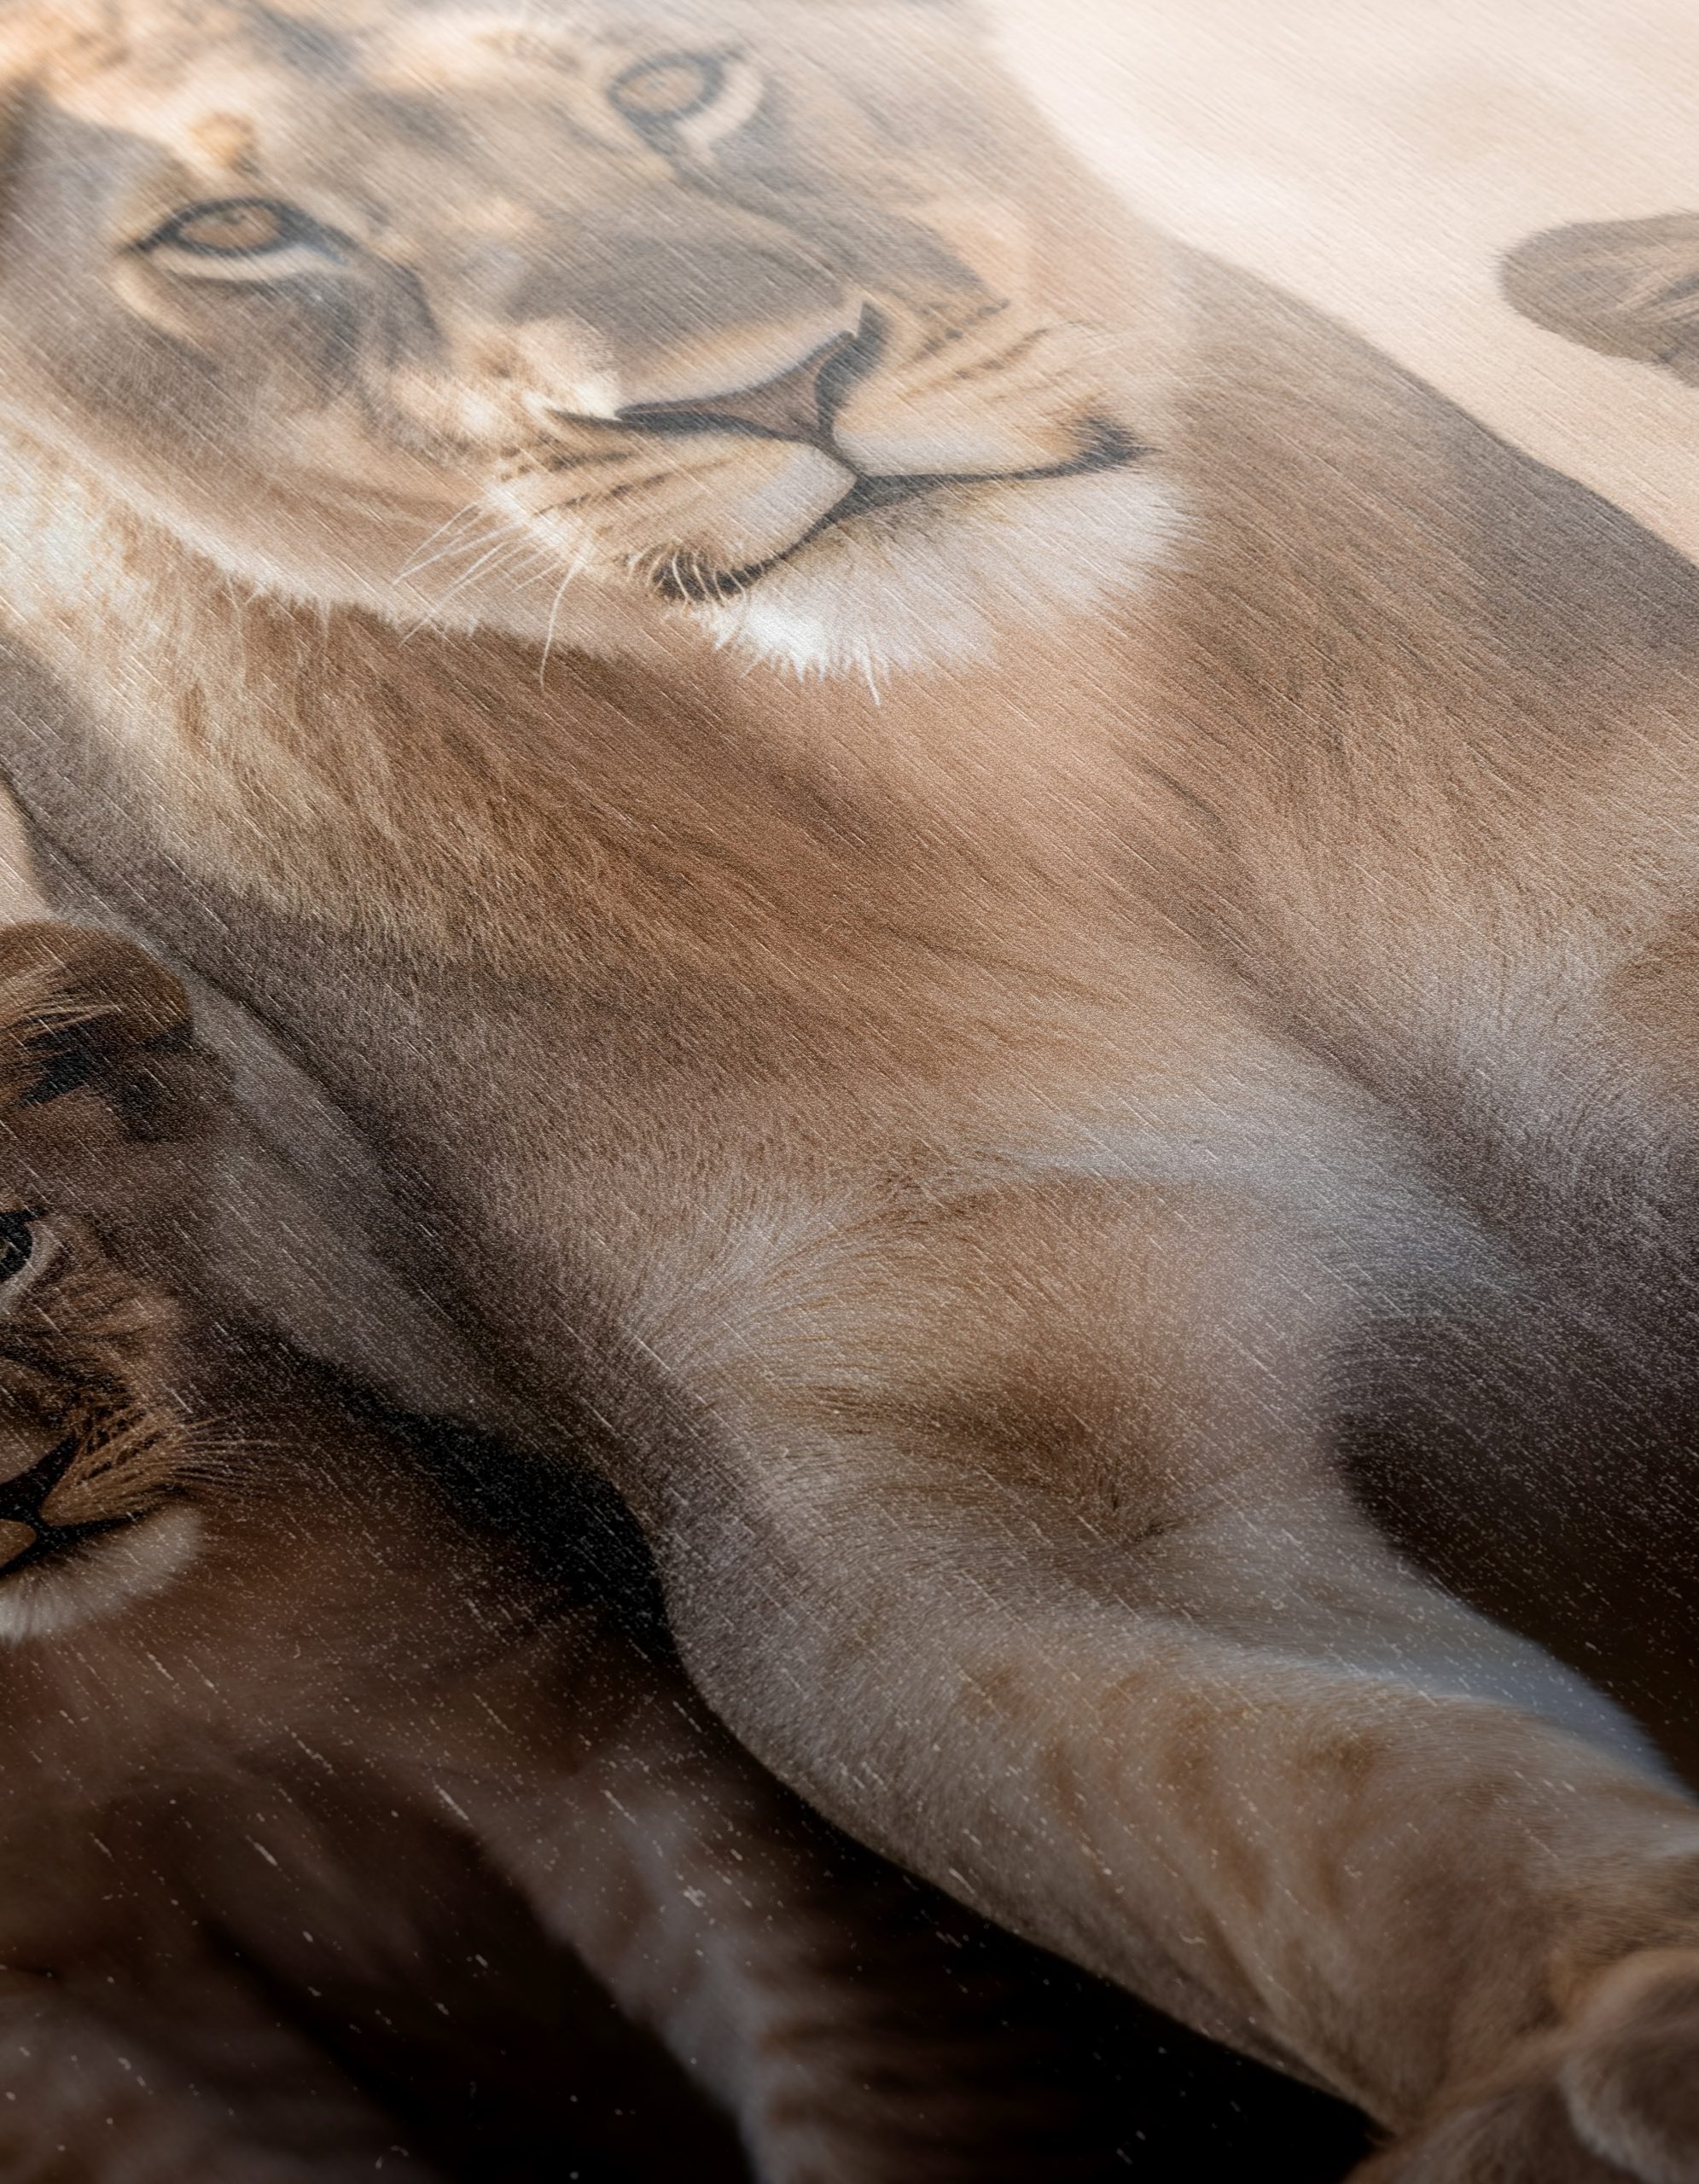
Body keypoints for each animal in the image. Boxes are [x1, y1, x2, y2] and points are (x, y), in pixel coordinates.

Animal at [3, 2, 1699, 2175]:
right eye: (234, 229)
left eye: (669, 80)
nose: (770, 381)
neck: (1024, 747)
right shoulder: (935, 1507)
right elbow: (1358, 1813)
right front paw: (1634, 2009)